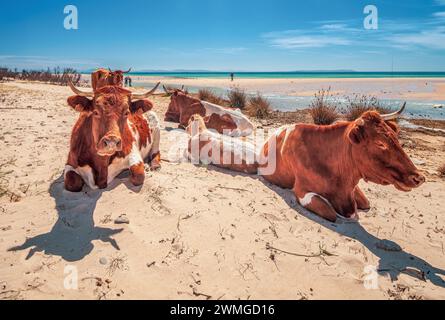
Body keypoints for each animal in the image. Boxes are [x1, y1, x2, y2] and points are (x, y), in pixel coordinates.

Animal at [256, 104, 424, 222]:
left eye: (395, 138)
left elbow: (366, 203)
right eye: (380, 144)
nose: (419, 177)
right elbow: (331, 213)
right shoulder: (302, 191)